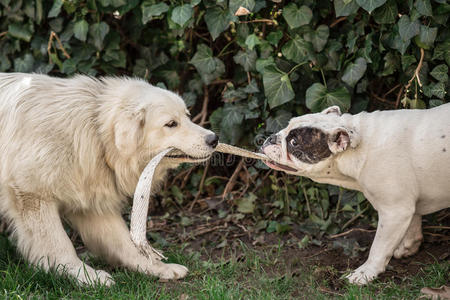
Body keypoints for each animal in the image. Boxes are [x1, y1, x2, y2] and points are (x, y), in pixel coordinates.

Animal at [0, 72, 218, 286]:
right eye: (171, 124)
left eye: (187, 117)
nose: (214, 139)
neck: (95, 131)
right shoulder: (32, 196)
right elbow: (59, 244)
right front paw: (83, 275)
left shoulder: (92, 204)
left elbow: (125, 243)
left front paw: (158, 268)